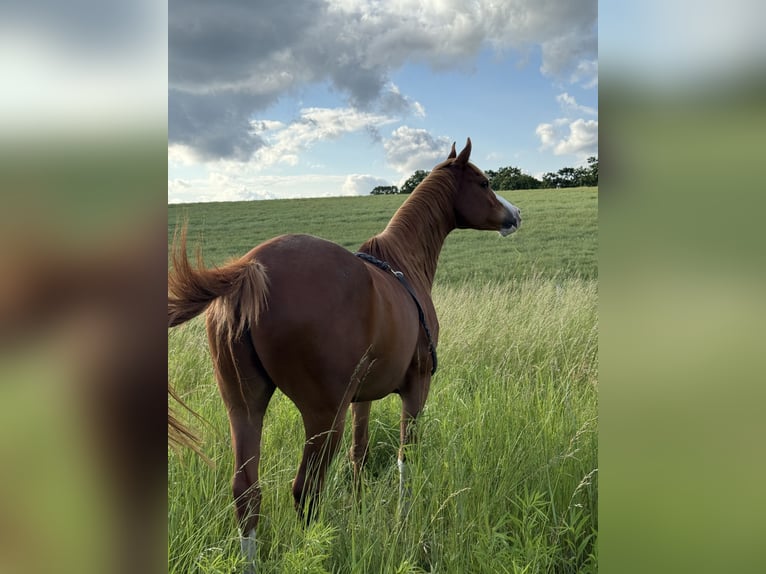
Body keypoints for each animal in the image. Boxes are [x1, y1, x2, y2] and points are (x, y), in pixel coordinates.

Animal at [168, 138, 521, 567]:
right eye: (484, 183)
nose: (516, 215)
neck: (404, 265)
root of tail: (249, 268)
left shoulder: (361, 398)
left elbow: (360, 455)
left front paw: (359, 511)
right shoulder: (416, 388)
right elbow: (406, 458)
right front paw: (403, 521)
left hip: (244, 406)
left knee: (247, 492)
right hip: (322, 416)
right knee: (305, 489)